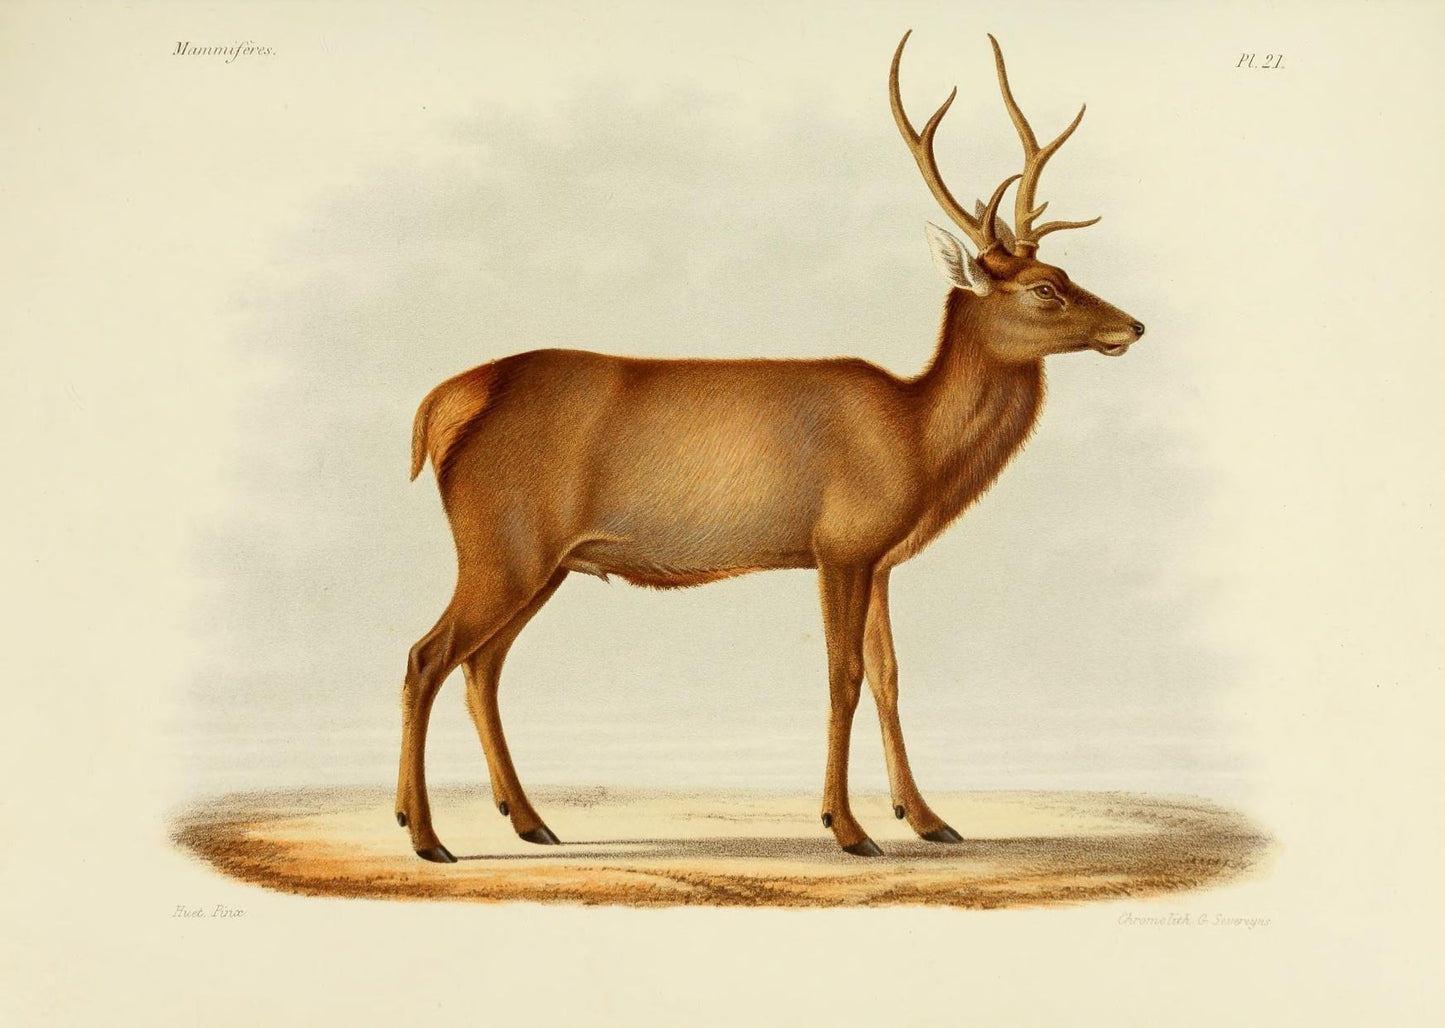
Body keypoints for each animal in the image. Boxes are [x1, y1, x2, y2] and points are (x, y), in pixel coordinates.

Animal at [395, 31, 1145, 862]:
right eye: (1045, 287)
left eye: (1064, 270)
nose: (1133, 326)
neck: (914, 439)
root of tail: (442, 405)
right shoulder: (840, 543)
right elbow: (842, 676)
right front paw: (846, 828)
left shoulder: (879, 557)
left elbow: (888, 675)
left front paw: (926, 818)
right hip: (499, 542)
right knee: (426, 657)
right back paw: (424, 834)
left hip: (540, 560)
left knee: (481, 664)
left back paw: (527, 819)